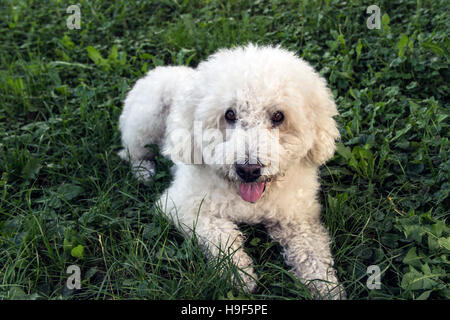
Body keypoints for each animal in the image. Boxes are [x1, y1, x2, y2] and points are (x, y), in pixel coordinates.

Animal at [118, 43, 346, 298]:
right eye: (230, 114)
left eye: (278, 116)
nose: (249, 169)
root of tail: (164, 69)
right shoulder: (182, 206)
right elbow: (221, 236)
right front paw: (238, 274)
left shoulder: (299, 218)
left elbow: (312, 251)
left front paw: (325, 285)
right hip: (145, 121)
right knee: (132, 151)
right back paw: (143, 171)